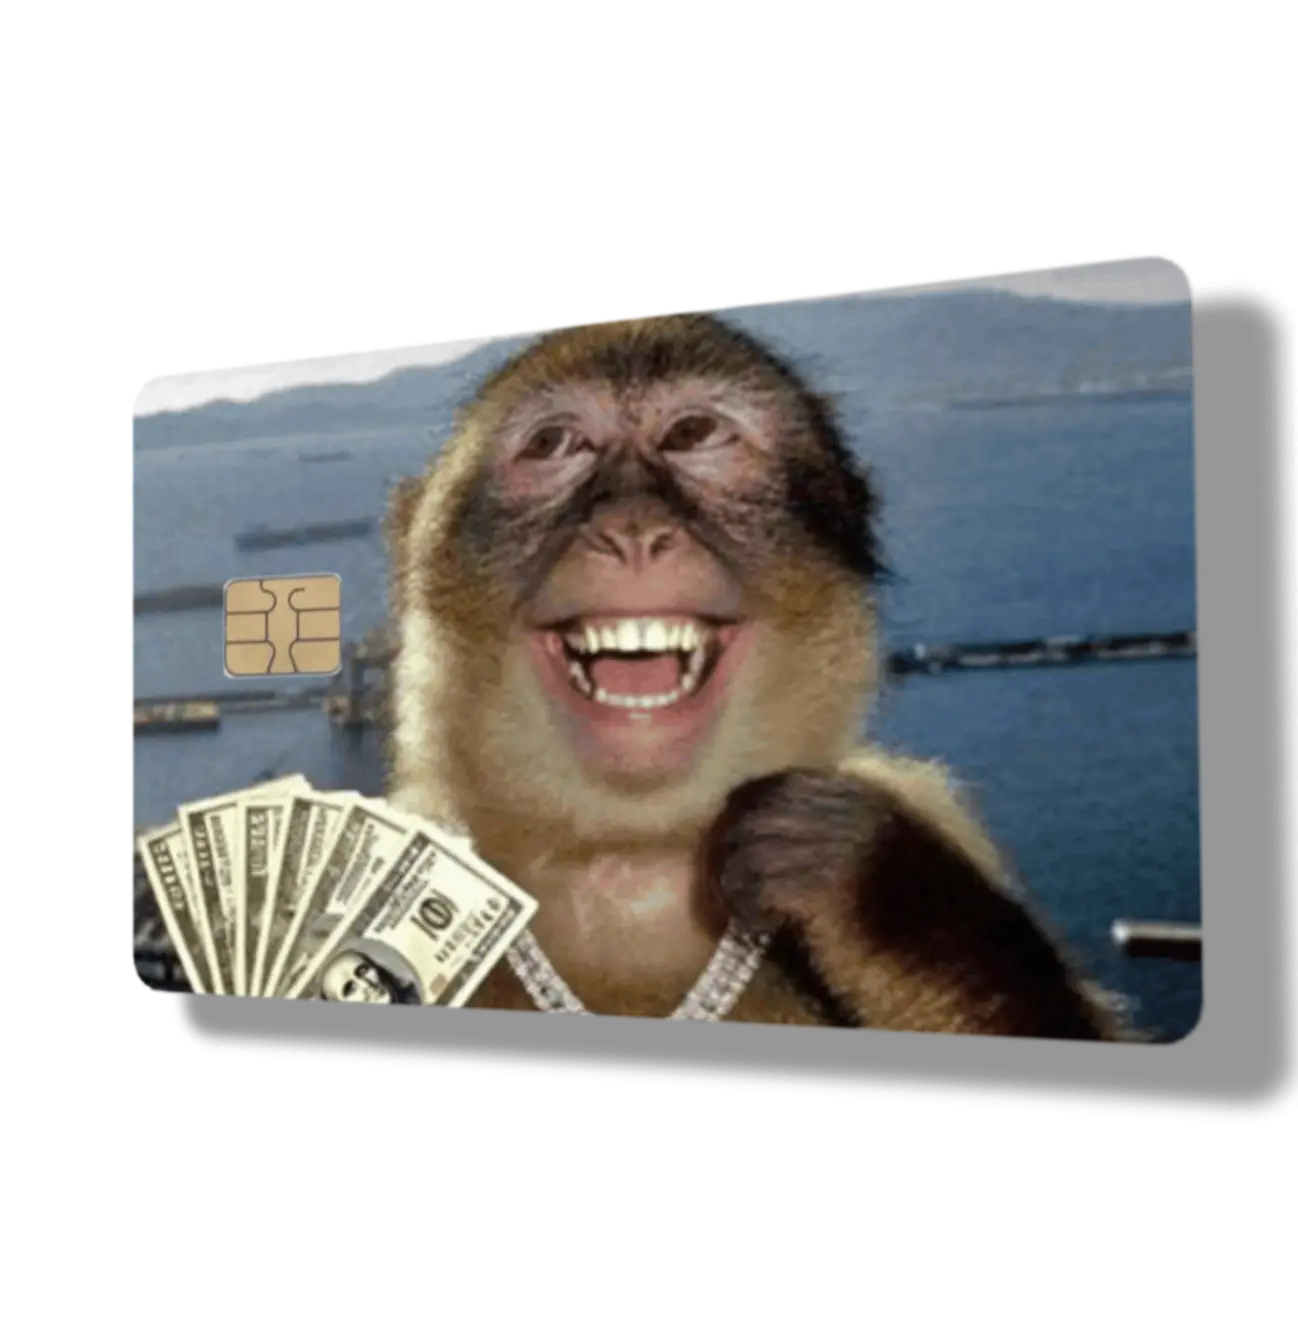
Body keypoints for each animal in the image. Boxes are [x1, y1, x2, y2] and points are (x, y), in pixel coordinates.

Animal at [382, 311, 1142, 1042]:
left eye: (692, 434)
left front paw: (870, 883)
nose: (633, 530)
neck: (631, 861)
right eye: (554, 445)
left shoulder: (923, 799)